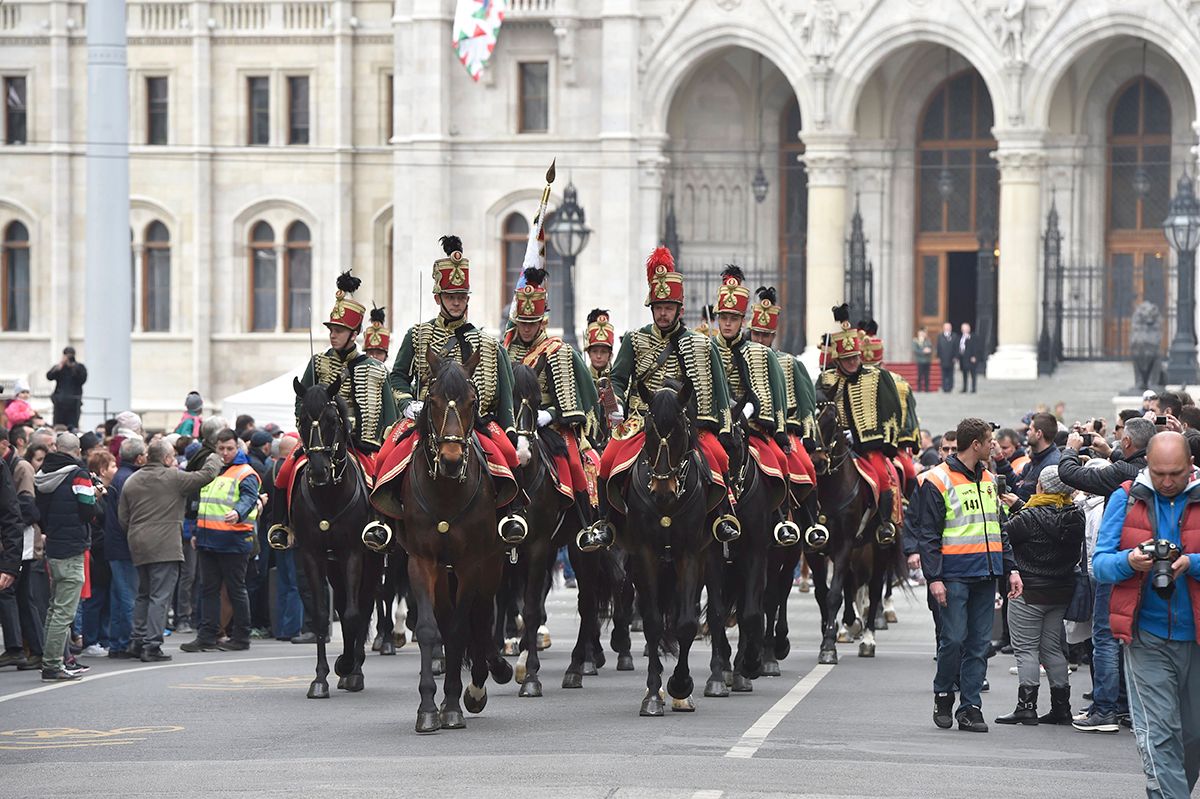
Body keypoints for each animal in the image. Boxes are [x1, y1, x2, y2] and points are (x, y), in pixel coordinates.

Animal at [290, 374, 384, 695]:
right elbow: (323, 615)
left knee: (363, 606)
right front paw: (320, 678)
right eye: (302, 420)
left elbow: (356, 614)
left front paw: (353, 670)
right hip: (334, 567)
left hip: (373, 561)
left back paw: (355, 665)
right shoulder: (313, 556)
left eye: (332, 420)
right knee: (343, 606)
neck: (329, 496)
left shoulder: (353, 553)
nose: (319, 471)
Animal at [614, 376, 715, 710]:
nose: (662, 491)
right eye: (648, 428)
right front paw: (653, 693)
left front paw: (680, 685)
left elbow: (686, 624)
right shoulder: (644, 555)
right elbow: (653, 623)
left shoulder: (690, 555)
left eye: (680, 429)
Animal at [801, 388, 902, 662]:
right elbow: (823, 593)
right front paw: (831, 632)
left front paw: (828, 646)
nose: (816, 462)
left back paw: (867, 638)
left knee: (875, 587)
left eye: (831, 419)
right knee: (851, 582)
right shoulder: (813, 549)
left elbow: (834, 593)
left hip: (879, 546)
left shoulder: (844, 544)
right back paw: (850, 623)